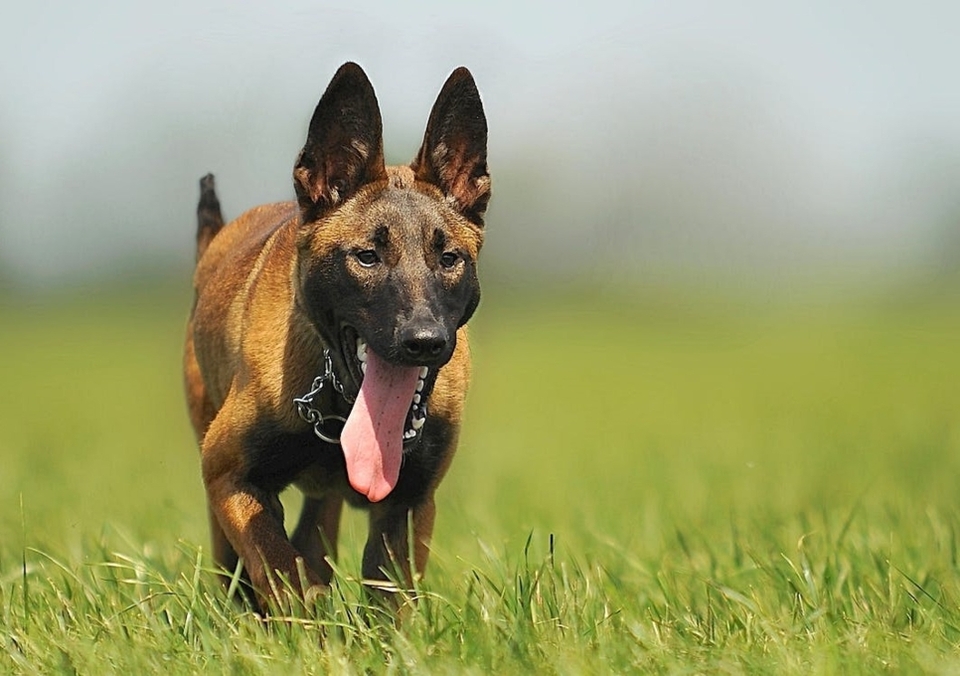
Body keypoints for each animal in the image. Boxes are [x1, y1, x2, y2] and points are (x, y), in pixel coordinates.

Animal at [184, 63, 492, 608]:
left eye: (448, 257)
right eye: (367, 257)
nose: (425, 341)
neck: (340, 401)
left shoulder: (408, 502)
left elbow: (386, 597)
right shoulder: (229, 476)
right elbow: (278, 568)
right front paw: (302, 622)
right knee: (238, 569)